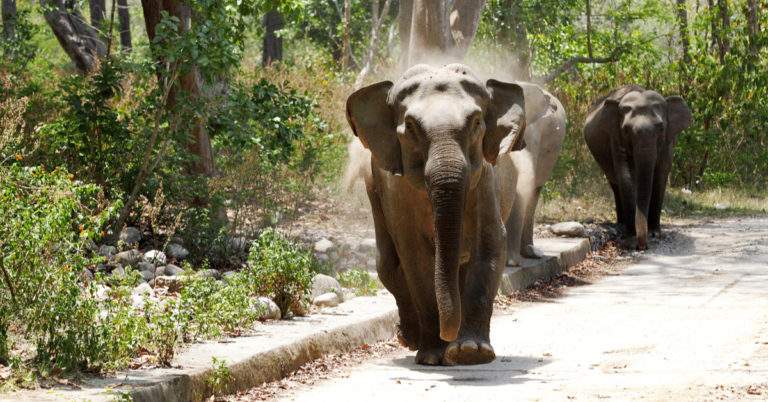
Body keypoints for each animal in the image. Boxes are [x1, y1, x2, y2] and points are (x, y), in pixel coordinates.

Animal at [345, 64, 528, 366]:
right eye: (410, 126)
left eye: (476, 122)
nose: (448, 336)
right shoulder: (395, 189)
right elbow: (415, 257)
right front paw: (434, 357)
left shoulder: (485, 180)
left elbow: (490, 243)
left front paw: (471, 352)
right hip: (373, 192)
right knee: (387, 264)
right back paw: (410, 339)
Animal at [583, 85, 692, 249]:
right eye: (626, 129)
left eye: (661, 127)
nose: (643, 246)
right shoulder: (616, 138)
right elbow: (626, 174)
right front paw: (631, 239)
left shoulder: (668, 141)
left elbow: (660, 175)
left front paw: (654, 233)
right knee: (615, 184)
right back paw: (621, 225)